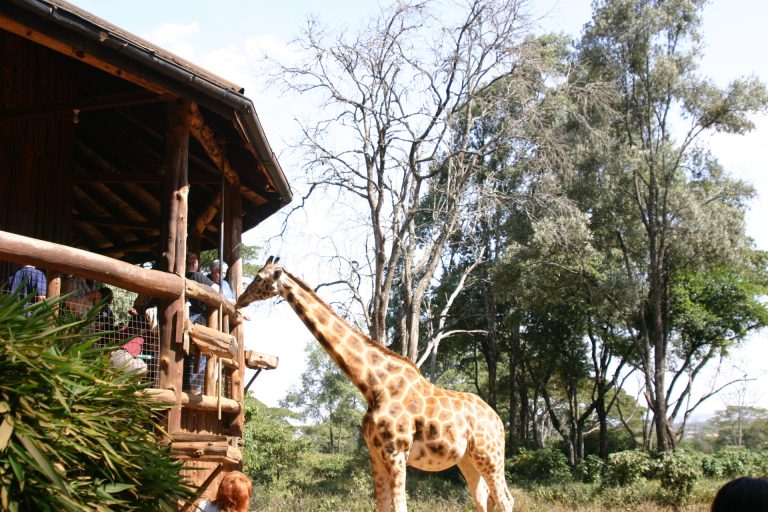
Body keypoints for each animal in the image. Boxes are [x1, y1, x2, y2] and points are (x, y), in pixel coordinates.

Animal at [237, 256, 512, 512]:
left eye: (259, 278)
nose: (240, 300)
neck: (373, 387)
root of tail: (498, 421)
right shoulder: (375, 455)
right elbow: (382, 505)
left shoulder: (396, 452)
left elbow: (400, 507)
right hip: (467, 459)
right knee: (484, 500)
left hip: (489, 455)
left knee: (505, 499)